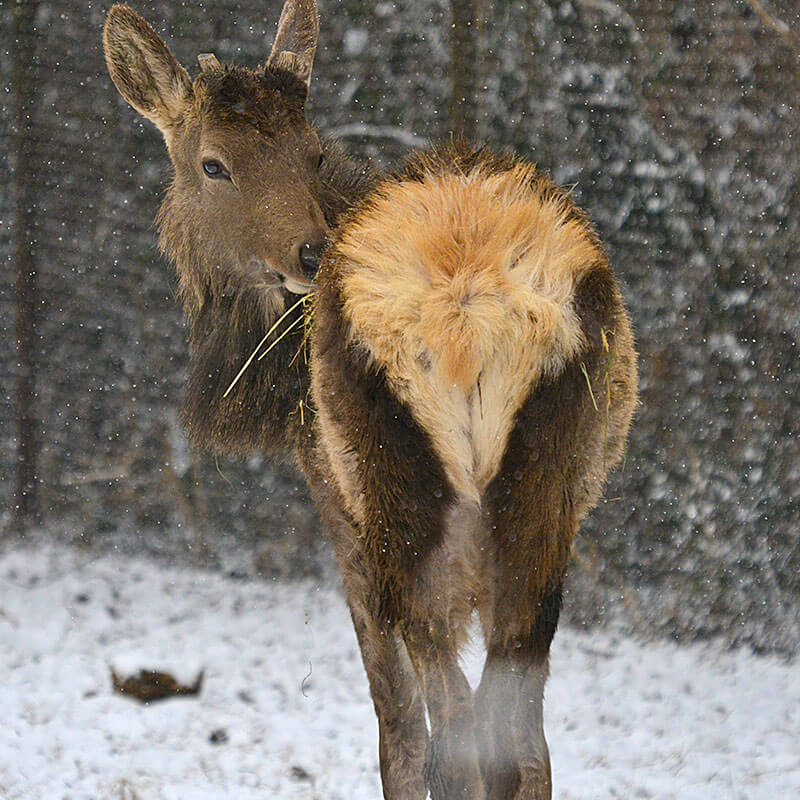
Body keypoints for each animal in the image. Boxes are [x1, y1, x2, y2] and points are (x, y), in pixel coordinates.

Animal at [104, 2, 638, 799]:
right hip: (546, 498)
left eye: (312, 155)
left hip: (403, 500)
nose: (309, 254)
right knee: (524, 745)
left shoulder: (337, 499)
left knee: (453, 740)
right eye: (214, 163)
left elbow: (399, 731)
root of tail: (470, 310)